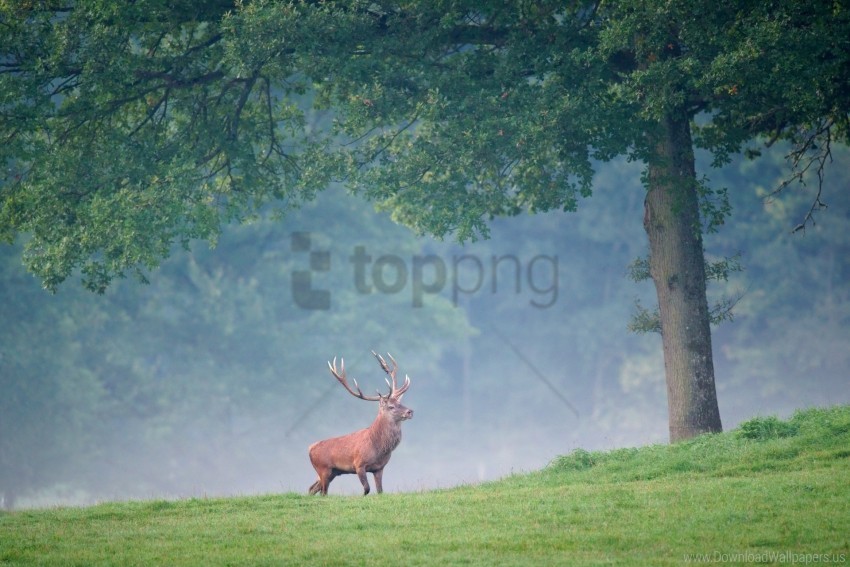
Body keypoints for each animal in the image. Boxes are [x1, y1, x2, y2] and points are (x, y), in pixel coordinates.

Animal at [306, 350, 412, 496]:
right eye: (391, 406)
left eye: (400, 402)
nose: (410, 411)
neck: (378, 448)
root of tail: (310, 448)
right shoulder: (359, 464)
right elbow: (367, 489)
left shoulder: (379, 468)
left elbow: (380, 491)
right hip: (323, 469)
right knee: (323, 492)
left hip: (332, 472)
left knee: (312, 489)